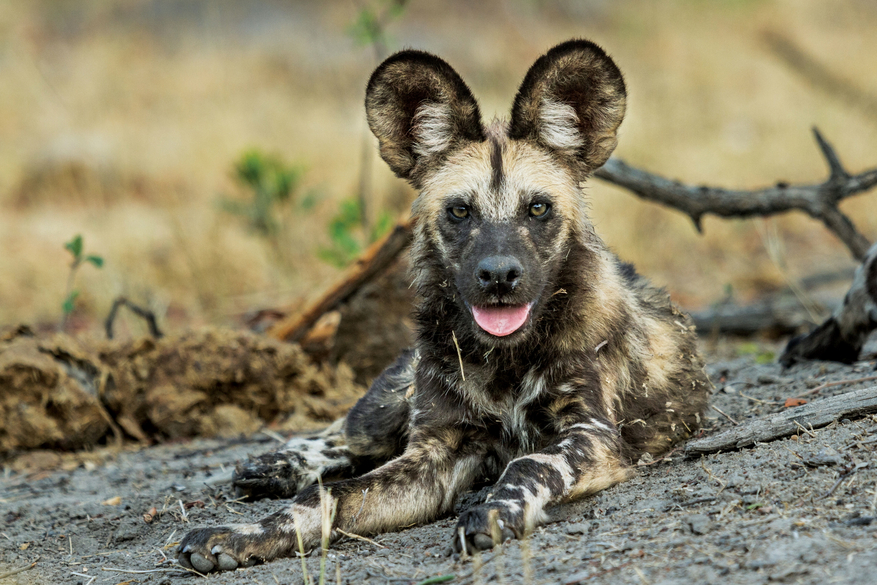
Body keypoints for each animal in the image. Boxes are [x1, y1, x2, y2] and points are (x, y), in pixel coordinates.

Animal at [178, 40, 712, 572]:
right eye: (460, 211)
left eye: (537, 208)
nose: (499, 276)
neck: (505, 360)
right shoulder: (435, 451)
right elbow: (326, 498)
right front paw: (245, 534)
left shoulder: (591, 434)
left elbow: (529, 463)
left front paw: (494, 513)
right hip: (392, 399)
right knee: (350, 436)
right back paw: (283, 463)